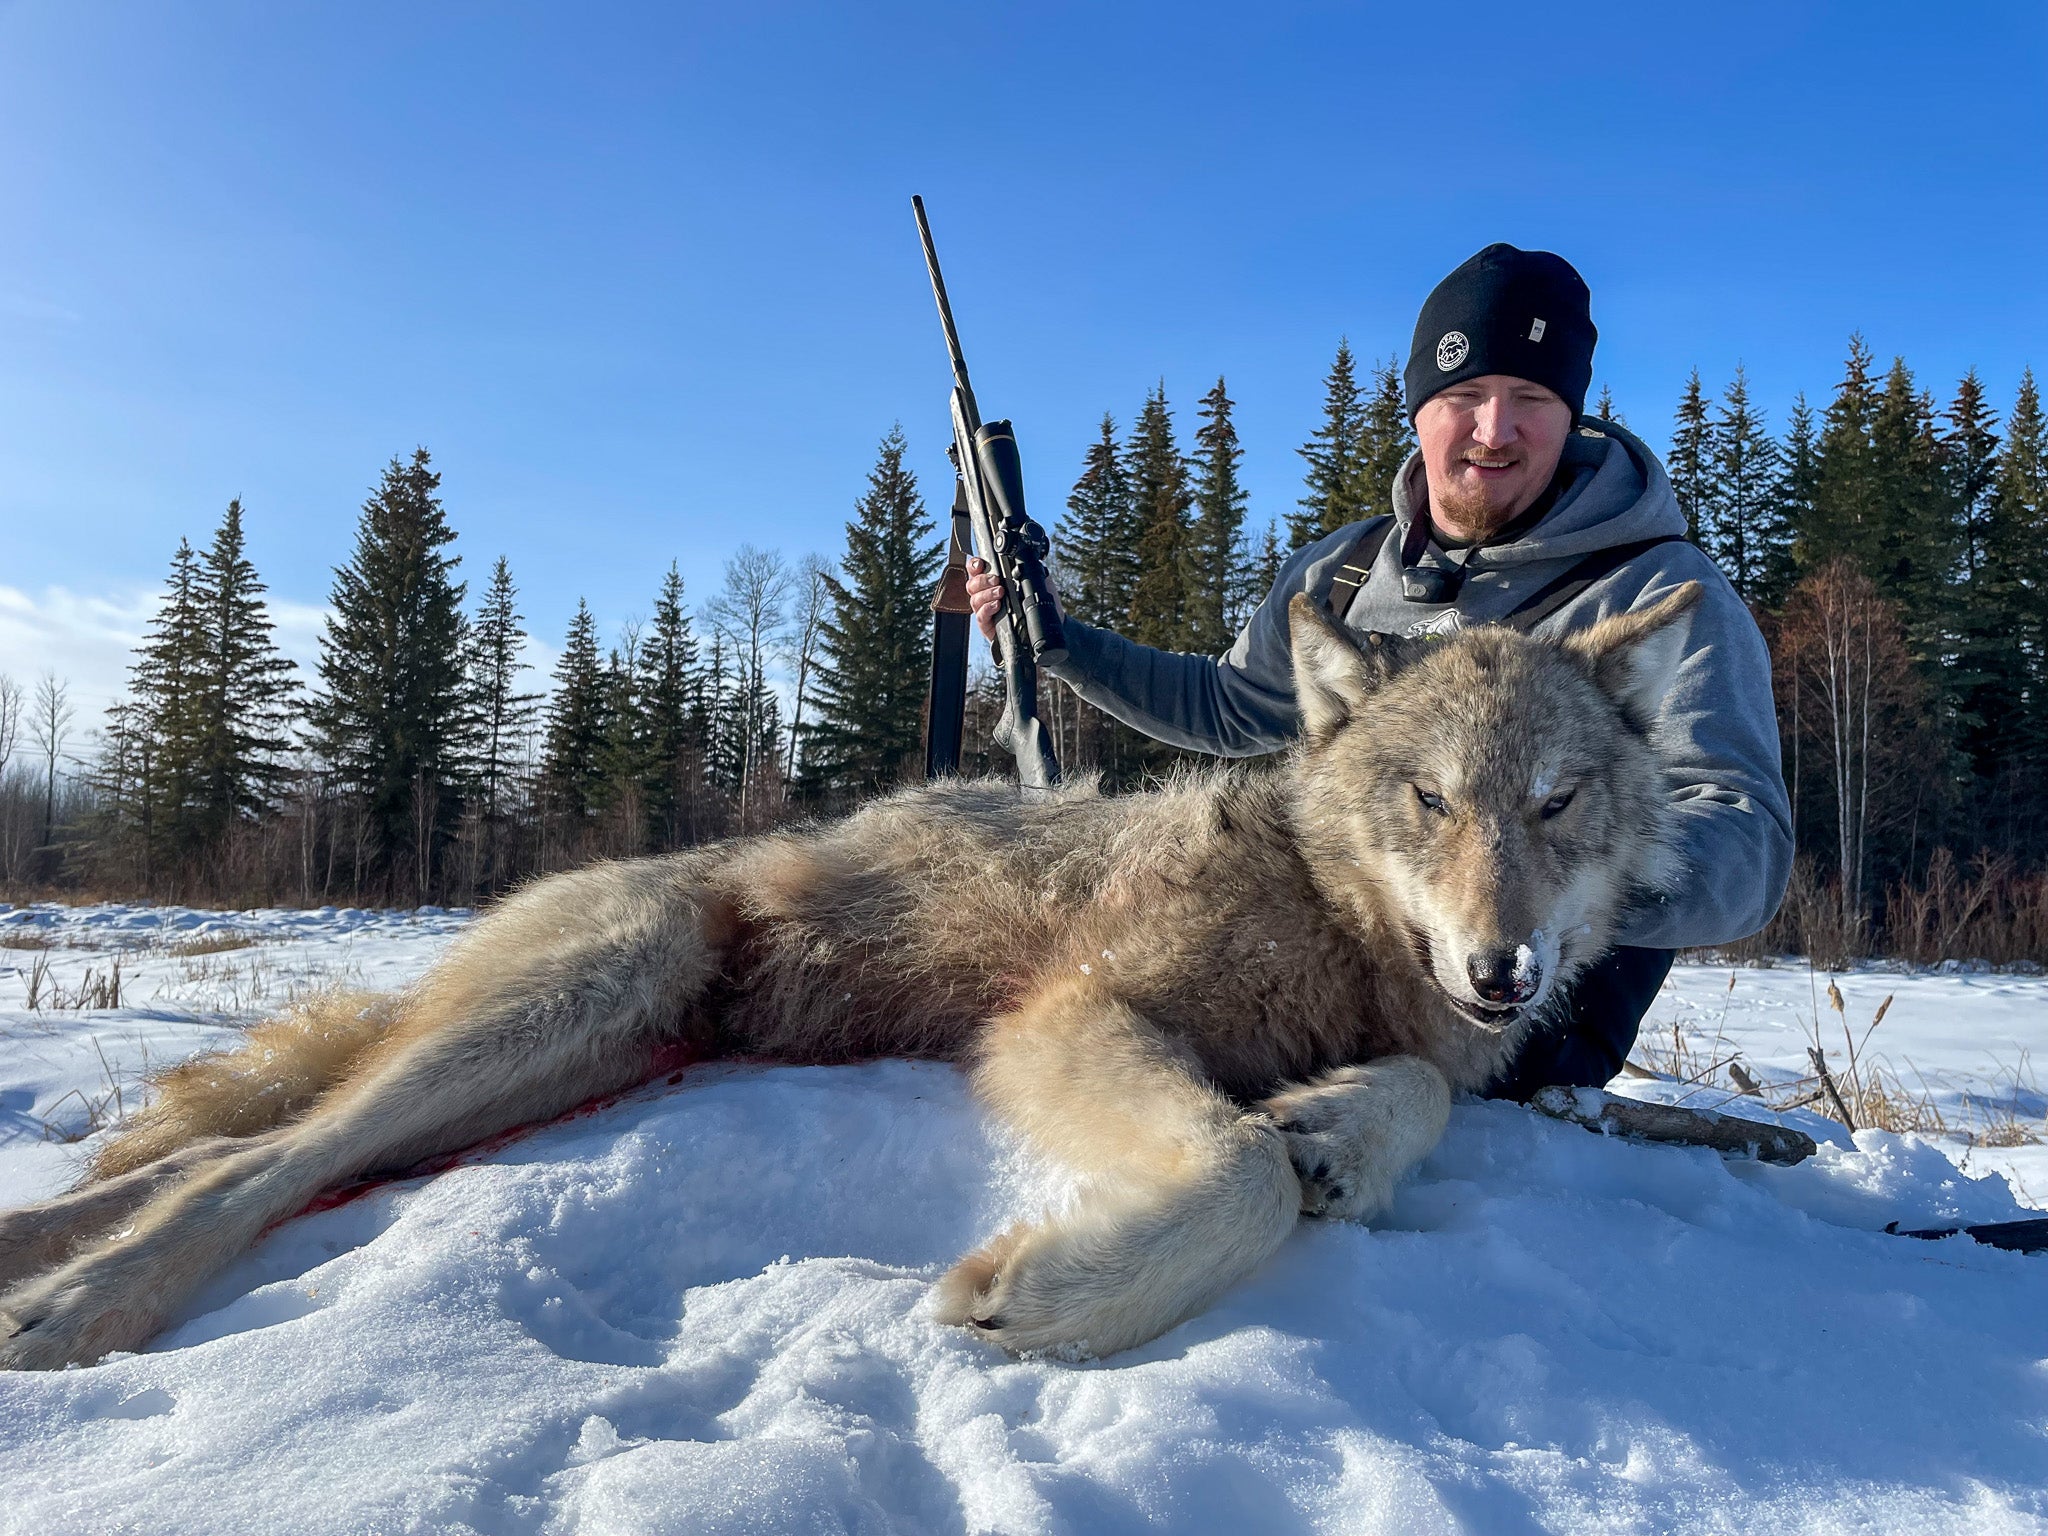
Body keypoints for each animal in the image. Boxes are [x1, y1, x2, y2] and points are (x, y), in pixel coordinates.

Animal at [0, 586, 1698, 1370]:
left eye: (1557, 802)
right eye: (1431, 799)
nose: (1504, 967)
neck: (1335, 929)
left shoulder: (1426, 1036)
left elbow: (1403, 1099)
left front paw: (1343, 1128)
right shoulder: (1068, 1015)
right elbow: (1238, 1176)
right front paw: (1042, 1299)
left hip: (577, 1068)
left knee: (235, 1156)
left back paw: (39, 1259)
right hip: (578, 1002)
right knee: (253, 1164)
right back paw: (74, 1309)